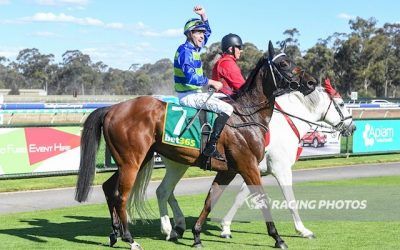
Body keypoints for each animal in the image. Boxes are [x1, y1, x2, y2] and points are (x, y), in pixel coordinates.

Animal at [76, 41, 316, 250]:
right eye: (283, 64)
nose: (312, 82)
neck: (245, 115)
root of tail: (112, 108)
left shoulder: (229, 170)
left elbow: (210, 200)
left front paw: (198, 235)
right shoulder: (249, 166)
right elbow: (263, 199)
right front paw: (278, 238)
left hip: (136, 160)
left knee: (110, 188)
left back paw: (116, 233)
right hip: (132, 163)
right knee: (121, 196)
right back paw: (130, 239)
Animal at [156, 78, 356, 242]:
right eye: (341, 103)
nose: (352, 127)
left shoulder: (254, 170)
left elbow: (241, 197)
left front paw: (225, 227)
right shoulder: (280, 170)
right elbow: (290, 199)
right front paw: (302, 230)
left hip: (178, 164)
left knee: (166, 191)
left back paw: (177, 225)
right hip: (178, 163)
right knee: (164, 191)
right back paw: (170, 227)